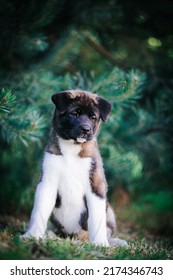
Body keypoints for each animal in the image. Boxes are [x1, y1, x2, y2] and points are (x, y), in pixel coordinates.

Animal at [23, 89, 127, 247]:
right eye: (75, 114)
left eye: (93, 117)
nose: (86, 129)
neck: (72, 150)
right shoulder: (47, 184)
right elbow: (39, 212)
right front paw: (32, 235)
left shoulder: (96, 187)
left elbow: (96, 219)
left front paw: (100, 243)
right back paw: (51, 235)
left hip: (108, 209)